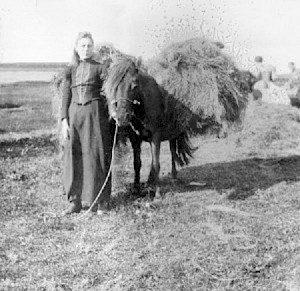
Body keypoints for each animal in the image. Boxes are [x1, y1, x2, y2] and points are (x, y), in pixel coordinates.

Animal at [103, 56, 193, 198]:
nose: (122, 117)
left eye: (134, 85)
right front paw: (136, 188)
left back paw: (173, 177)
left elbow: (156, 164)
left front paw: (158, 193)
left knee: (172, 152)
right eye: (115, 87)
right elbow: (137, 163)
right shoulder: (135, 139)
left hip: (173, 135)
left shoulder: (155, 137)